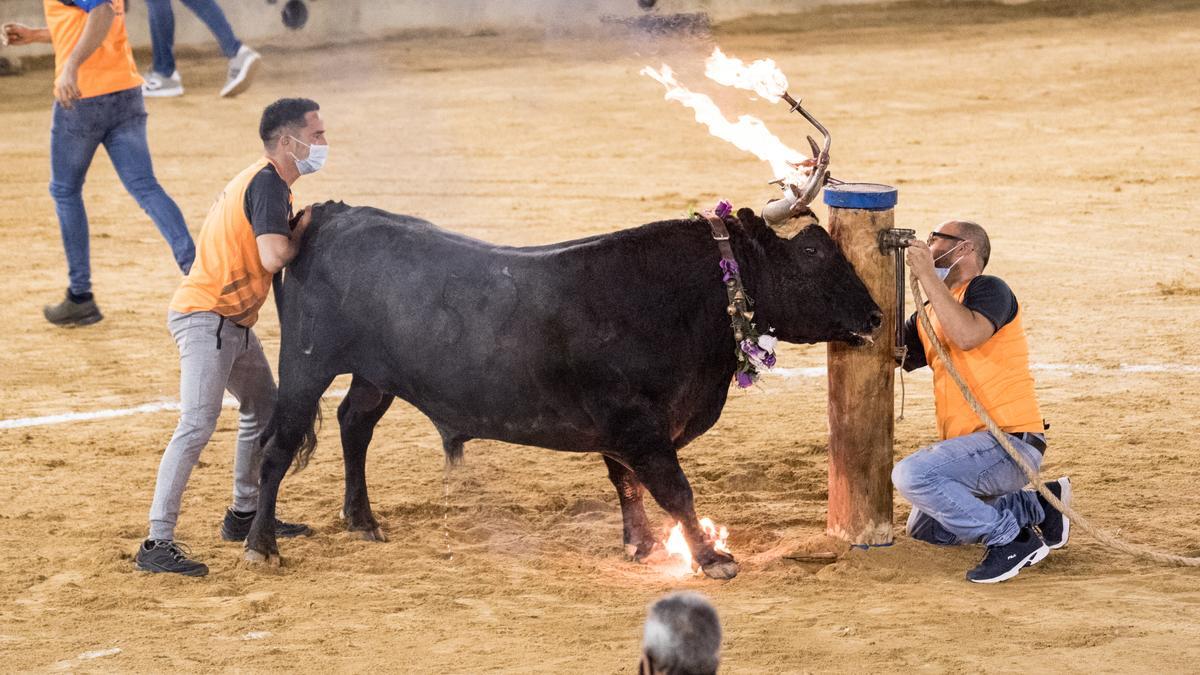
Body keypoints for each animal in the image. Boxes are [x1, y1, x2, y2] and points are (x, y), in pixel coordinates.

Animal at [246, 199, 883, 578]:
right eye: (811, 250)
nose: (877, 315)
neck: (687, 293)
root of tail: (335, 213)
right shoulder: (639, 427)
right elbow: (675, 491)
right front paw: (710, 556)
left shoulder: (624, 434)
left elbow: (627, 485)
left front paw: (641, 545)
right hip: (306, 365)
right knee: (275, 449)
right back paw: (262, 545)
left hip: (374, 375)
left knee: (354, 426)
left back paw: (362, 520)